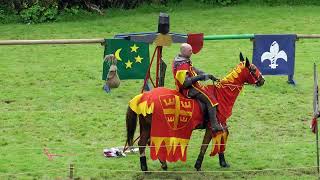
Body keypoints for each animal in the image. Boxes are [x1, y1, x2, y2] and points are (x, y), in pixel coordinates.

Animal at [125, 53, 264, 172]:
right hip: (154, 126)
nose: (262, 80)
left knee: (145, 143)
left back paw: (159, 164)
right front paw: (198, 165)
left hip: (146, 126)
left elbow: (221, 140)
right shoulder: (212, 127)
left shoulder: (222, 125)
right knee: (145, 143)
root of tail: (143, 97)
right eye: (253, 69)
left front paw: (223, 162)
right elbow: (205, 145)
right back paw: (148, 167)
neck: (221, 95)